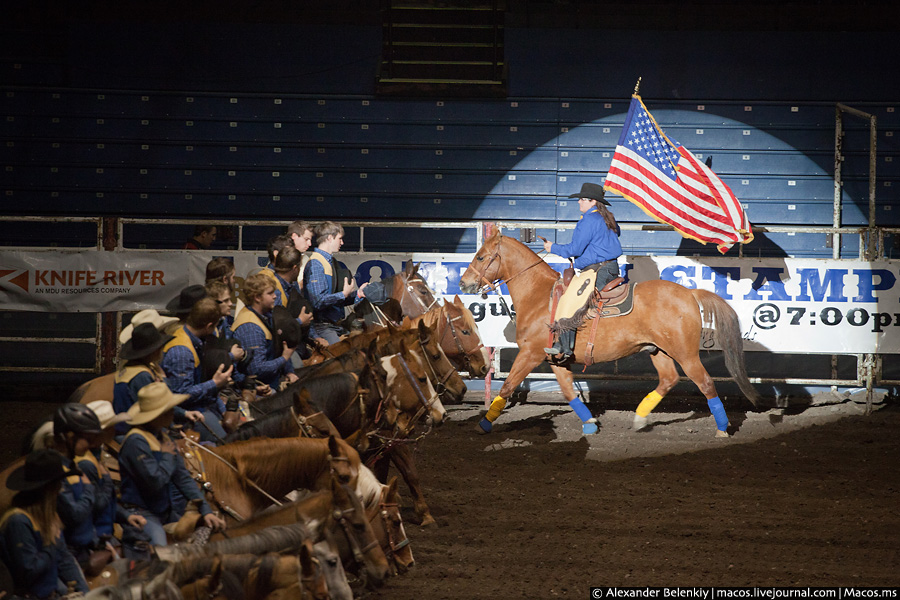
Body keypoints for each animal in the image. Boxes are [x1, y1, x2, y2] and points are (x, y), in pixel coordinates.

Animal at [458, 231, 760, 436]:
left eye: (481, 256)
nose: (463, 283)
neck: (539, 296)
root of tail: (689, 293)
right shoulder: (556, 360)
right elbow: (568, 391)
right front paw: (590, 424)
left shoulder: (529, 354)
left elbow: (507, 386)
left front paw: (483, 423)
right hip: (659, 350)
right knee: (668, 380)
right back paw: (640, 418)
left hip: (686, 354)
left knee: (706, 383)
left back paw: (722, 428)